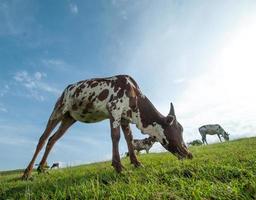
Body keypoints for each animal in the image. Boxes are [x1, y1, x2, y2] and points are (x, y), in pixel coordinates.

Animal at [22, 74, 192, 179]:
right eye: (178, 129)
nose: (189, 154)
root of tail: (67, 88)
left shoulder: (124, 118)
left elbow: (129, 139)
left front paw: (137, 163)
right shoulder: (114, 109)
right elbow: (115, 136)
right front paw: (119, 167)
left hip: (69, 118)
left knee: (52, 139)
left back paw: (41, 169)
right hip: (58, 110)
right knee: (43, 138)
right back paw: (27, 173)